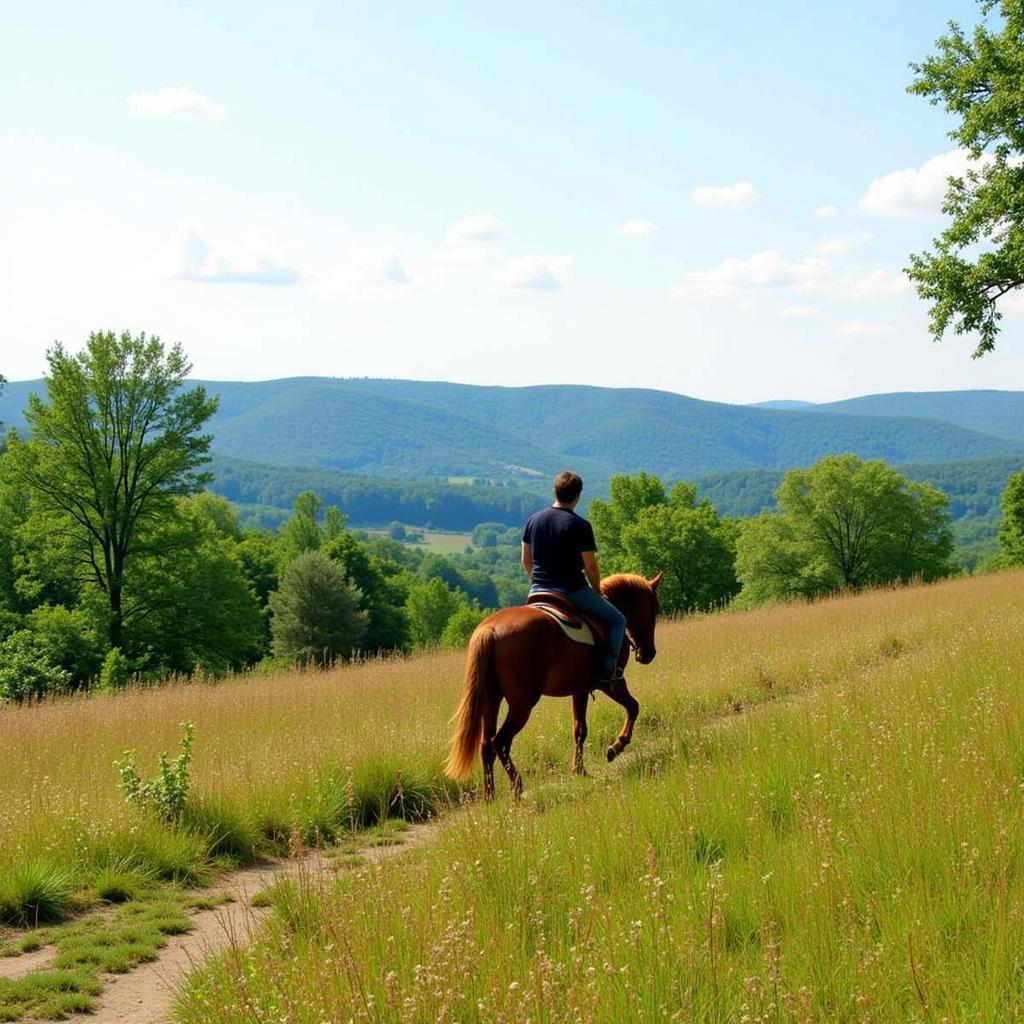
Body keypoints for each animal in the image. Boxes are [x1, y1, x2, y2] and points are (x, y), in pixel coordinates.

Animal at [444, 573, 659, 794]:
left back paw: (490, 795)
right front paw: (616, 747)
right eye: (655, 609)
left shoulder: (580, 690)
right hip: (522, 704)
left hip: (491, 700)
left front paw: (579, 769)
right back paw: (517, 785)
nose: (649, 653)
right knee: (500, 742)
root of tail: (491, 630)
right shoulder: (612, 683)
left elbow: (580, 729)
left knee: (487, 745)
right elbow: (633, 707)